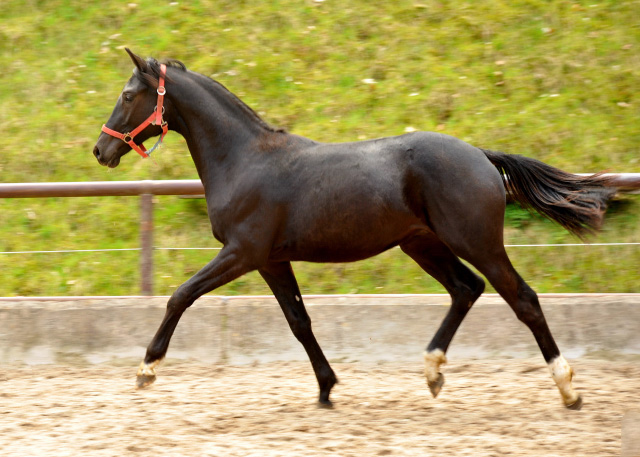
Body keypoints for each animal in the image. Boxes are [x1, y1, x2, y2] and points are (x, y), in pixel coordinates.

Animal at [92, 49, 612, 406]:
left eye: (127, 95)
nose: (101, 150)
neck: (243, 159)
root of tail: (481, 156)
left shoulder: (243, 252)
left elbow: (181, 295)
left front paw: (146, 369)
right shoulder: (272, 260)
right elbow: (299, 321)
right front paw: (327, 388)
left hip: (475, 241)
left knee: (522, 298)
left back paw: (568, 389)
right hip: (422, 245)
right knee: (467, 289)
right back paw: (432, 372)